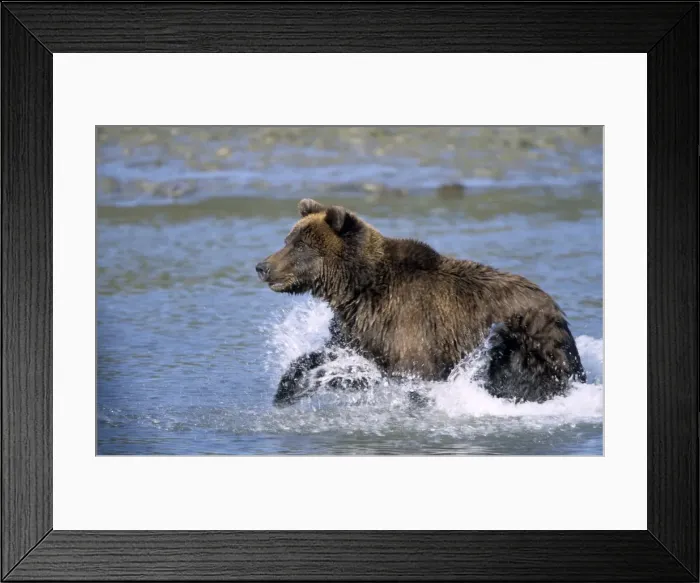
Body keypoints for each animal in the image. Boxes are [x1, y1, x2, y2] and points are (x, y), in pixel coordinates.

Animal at [256, 198, 587, 407]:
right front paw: (287, 390)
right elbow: (328, 356)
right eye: (288, 240)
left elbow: (411, 375)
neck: (357, 286)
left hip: (526, 338)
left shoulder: (408, 325)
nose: (262, 266)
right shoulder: (363, 327)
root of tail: (554, 306)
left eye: (300, 245)